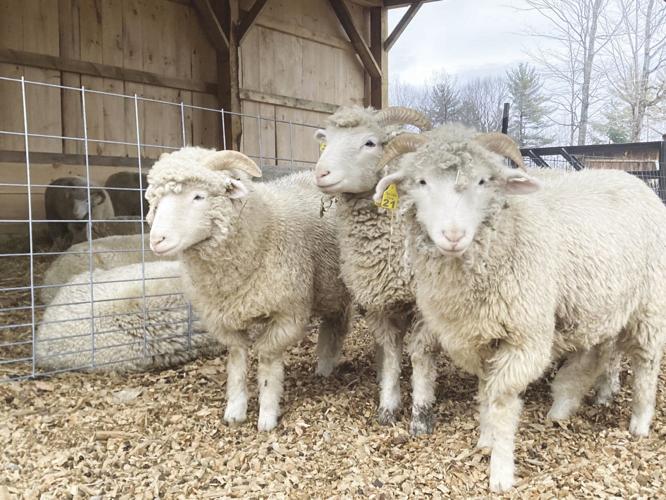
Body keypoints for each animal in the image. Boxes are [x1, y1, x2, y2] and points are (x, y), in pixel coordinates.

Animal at [146, 147, 352, 431]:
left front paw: (267, 415)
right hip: (329, 288)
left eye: (198, 196)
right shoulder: (223, 318)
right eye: (156, 201)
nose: (157, 240)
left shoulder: (287, 314)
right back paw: (323, 367)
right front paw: (235, 410)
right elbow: (237, 361)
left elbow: (267, 361)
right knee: (332, 324)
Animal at [373, 127, 666, 491]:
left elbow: (501, 402)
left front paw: (500, 472)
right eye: (422, 181)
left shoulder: (524, 338)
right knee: (601, 352)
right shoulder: (479, 338)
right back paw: (579, 401)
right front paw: (485, 439)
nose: (453, 235)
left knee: (646, 363)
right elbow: (485, 391)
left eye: (484, 181)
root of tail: (636, 180)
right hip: (601, 305)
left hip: (650, 305)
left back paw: (639, 422)